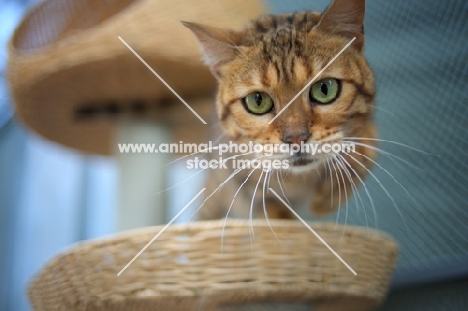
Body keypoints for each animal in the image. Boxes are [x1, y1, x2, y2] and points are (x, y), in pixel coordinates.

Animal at [183, 0, 376, 222]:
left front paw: (328, 196)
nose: (296, 138)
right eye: (257, 101)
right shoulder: (243, 178)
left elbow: (367, 146)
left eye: (324, 89)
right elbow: (273, 210)